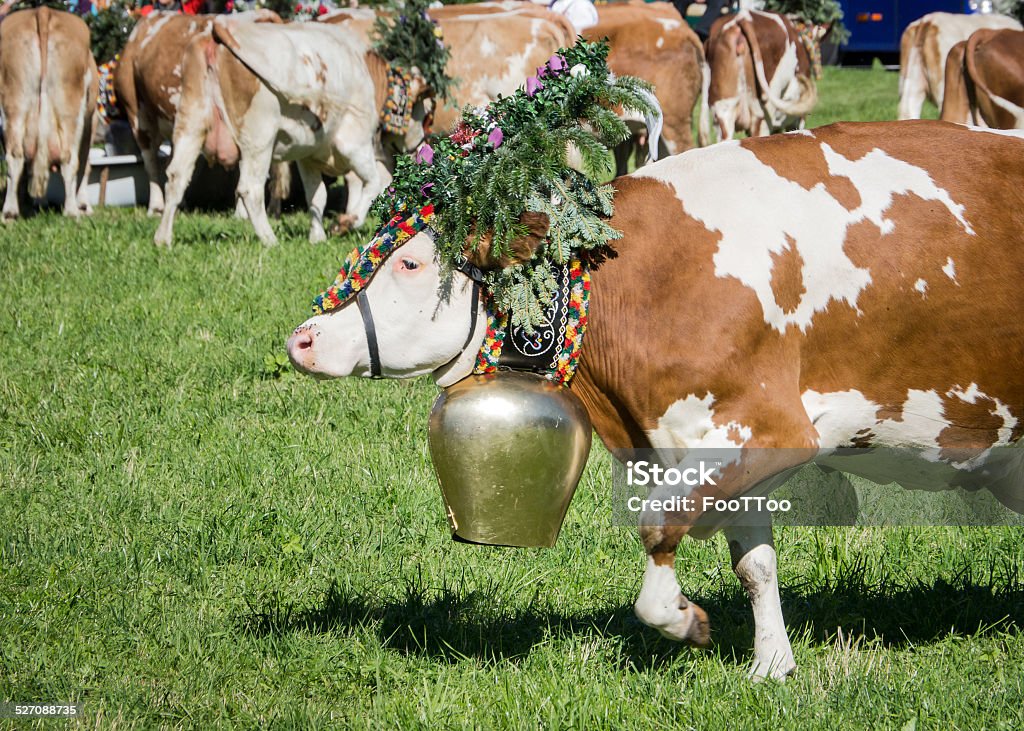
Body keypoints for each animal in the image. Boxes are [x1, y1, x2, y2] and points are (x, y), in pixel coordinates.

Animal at [0, 5, 96, 218]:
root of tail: (43, 11)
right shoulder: (91, 122)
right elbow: (85, 164)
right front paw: (84, 205)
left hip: (13, 102)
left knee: (15, 158)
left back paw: (10, 212)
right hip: (71, 108)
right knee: (69, 159)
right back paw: (71, 211)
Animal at [150, 16, 428, 244]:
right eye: (423, 112)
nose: (420, 143)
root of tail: (219, 30)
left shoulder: (309, 154)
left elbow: (317, 196)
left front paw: (317, 238)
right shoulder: (354, 143)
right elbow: (376, 183)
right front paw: (347, 223)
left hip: (191, 122)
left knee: (176, 177)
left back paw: (163, 238)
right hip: (258, 137)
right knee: (250, 189)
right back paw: (269, 239)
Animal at [286, 120, 1024, 675]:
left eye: (411, 263)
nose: (303, 338)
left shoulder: (769, 426)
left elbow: (657, 523)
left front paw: (684, 620)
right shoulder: (707, 438)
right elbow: (754, 563)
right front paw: (771, 664)